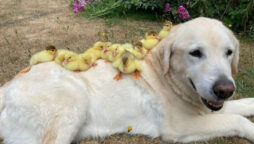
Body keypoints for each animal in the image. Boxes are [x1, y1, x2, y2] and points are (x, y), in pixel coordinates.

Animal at [0, 17, 254, 144]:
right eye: (196, 53)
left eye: (229, 52)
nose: (225, 90)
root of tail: (7, 86)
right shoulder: (180, 127)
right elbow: (238, 119)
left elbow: (242, 105)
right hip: (73, 101)